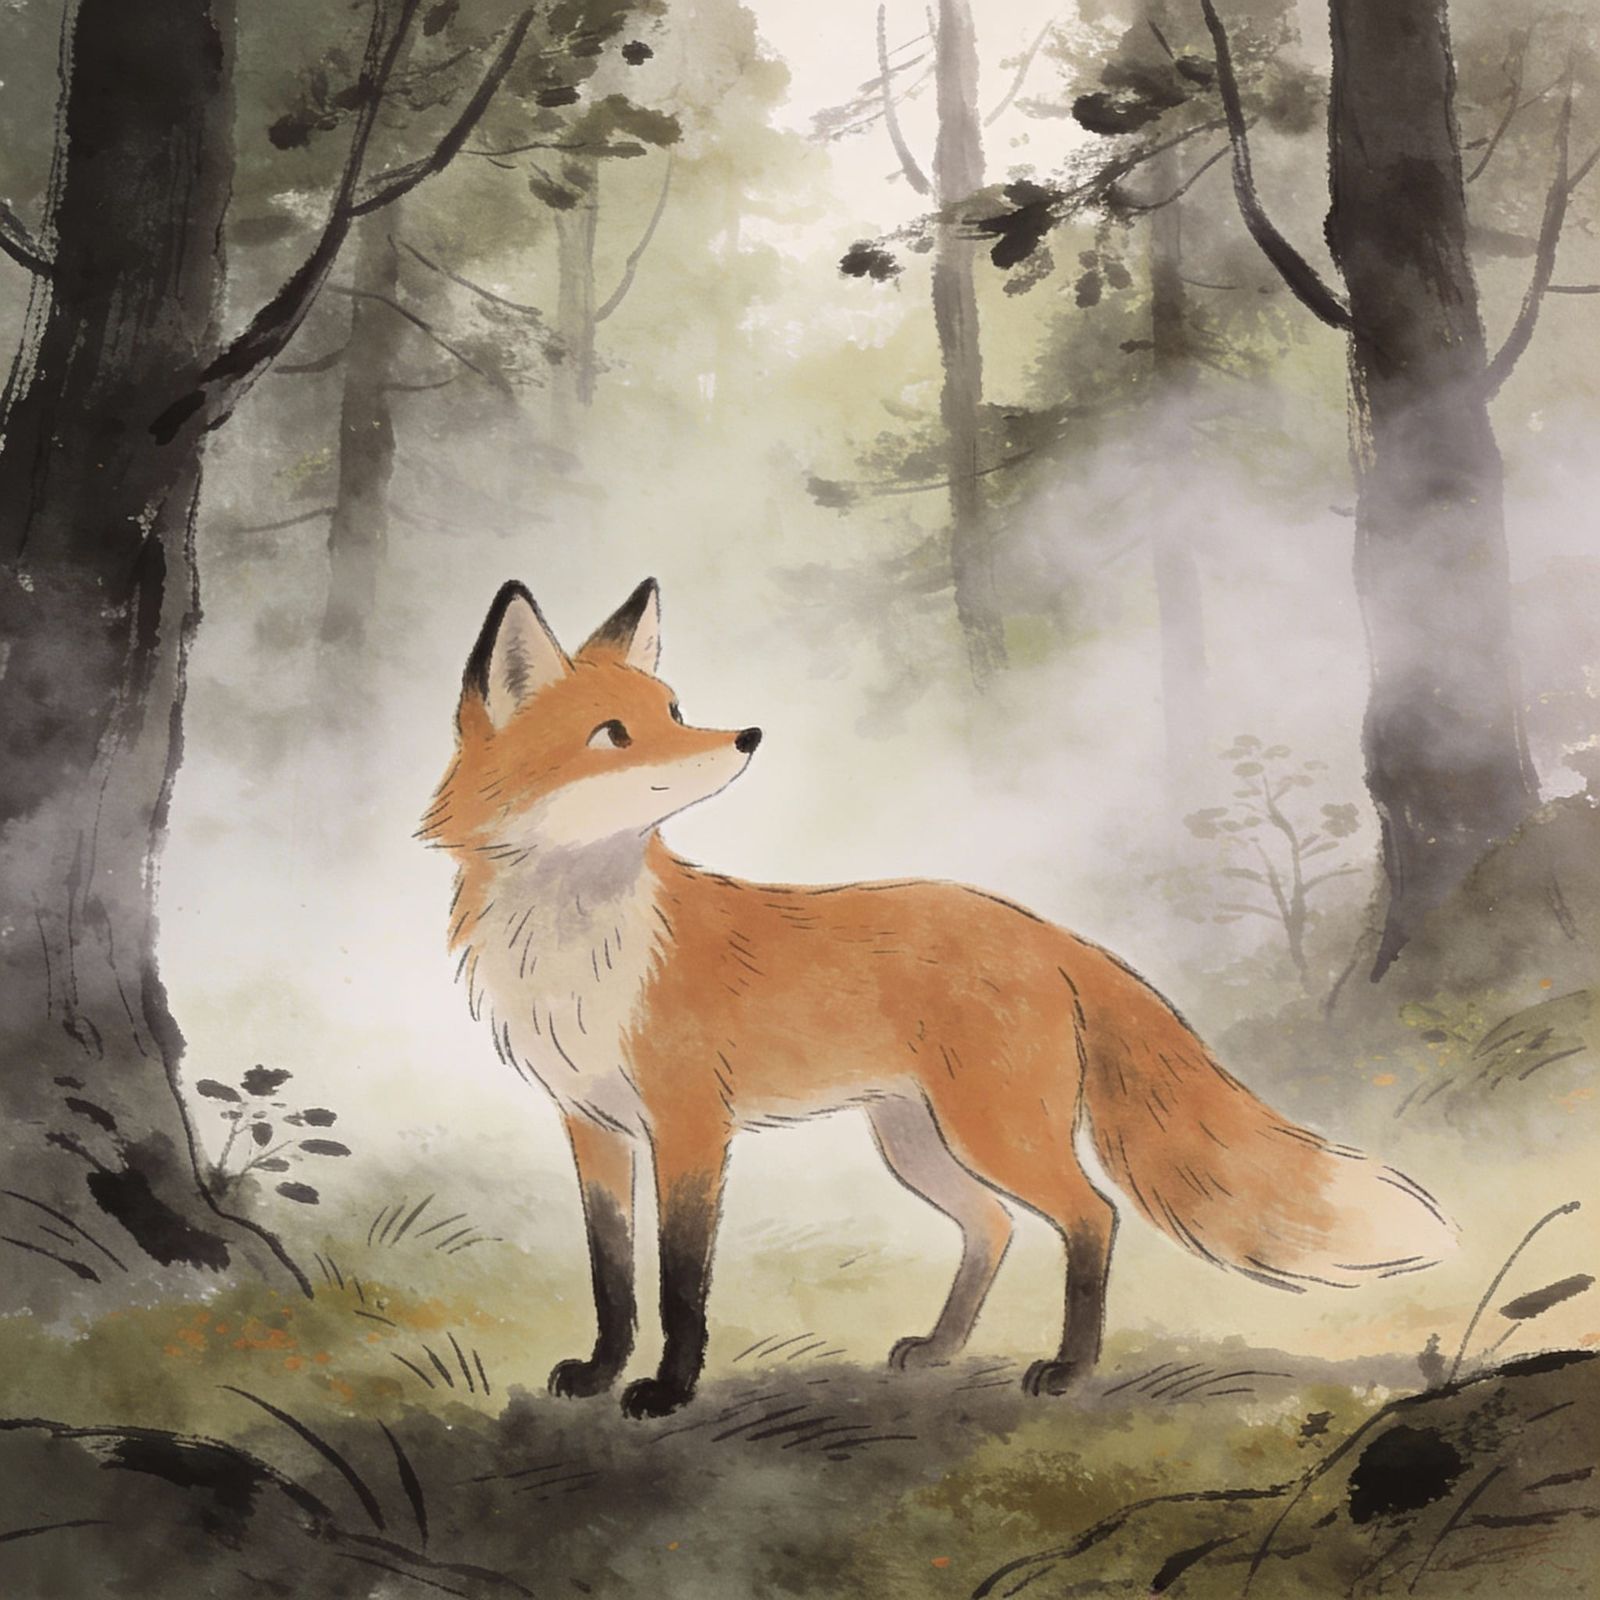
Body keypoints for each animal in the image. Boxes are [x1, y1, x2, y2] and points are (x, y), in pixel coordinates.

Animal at [420, 578, 1457, 1419]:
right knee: (994, 1226)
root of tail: (1048, 932)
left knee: (1090, 1216)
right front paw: (601, 1374)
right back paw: (944, 1349)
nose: (747, 736)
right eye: (613, 735)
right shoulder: (592, 1129)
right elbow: (613, 1279)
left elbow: (681, 1289)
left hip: (993, 1130)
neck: (578, 942)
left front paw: (668, 1392)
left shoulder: (690, 1131)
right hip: (918, 1141)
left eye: (676, 708)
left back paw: (1069, 1371)